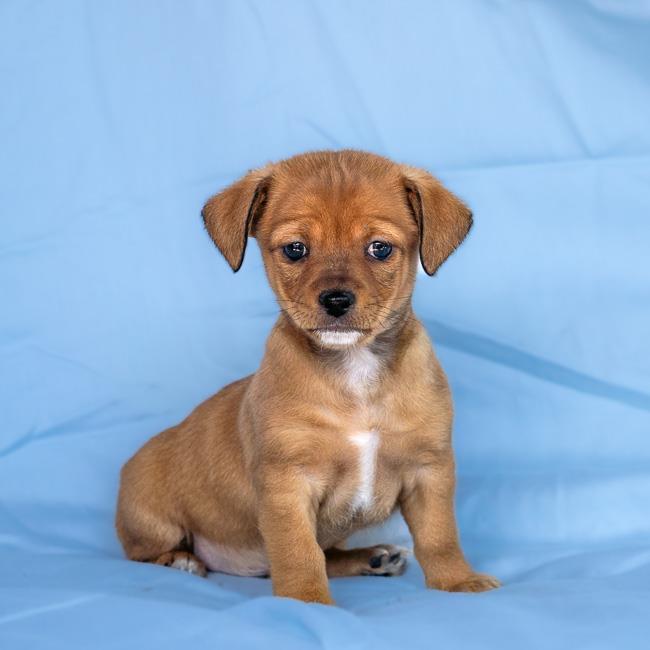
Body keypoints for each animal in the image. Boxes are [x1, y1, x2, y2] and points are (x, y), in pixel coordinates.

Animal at [116, 148, 498, 604]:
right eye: (296, 249)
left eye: (380, 248)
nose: (335, 300)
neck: (355, 370)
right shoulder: (288, 482)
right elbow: (298, 550)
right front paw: (307, 601)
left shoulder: (430, 471)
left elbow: (440, 536)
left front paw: (457, 581)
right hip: (151, 515)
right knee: (143, 551)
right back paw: (181, 560)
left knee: (330, 553)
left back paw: (372, 558)